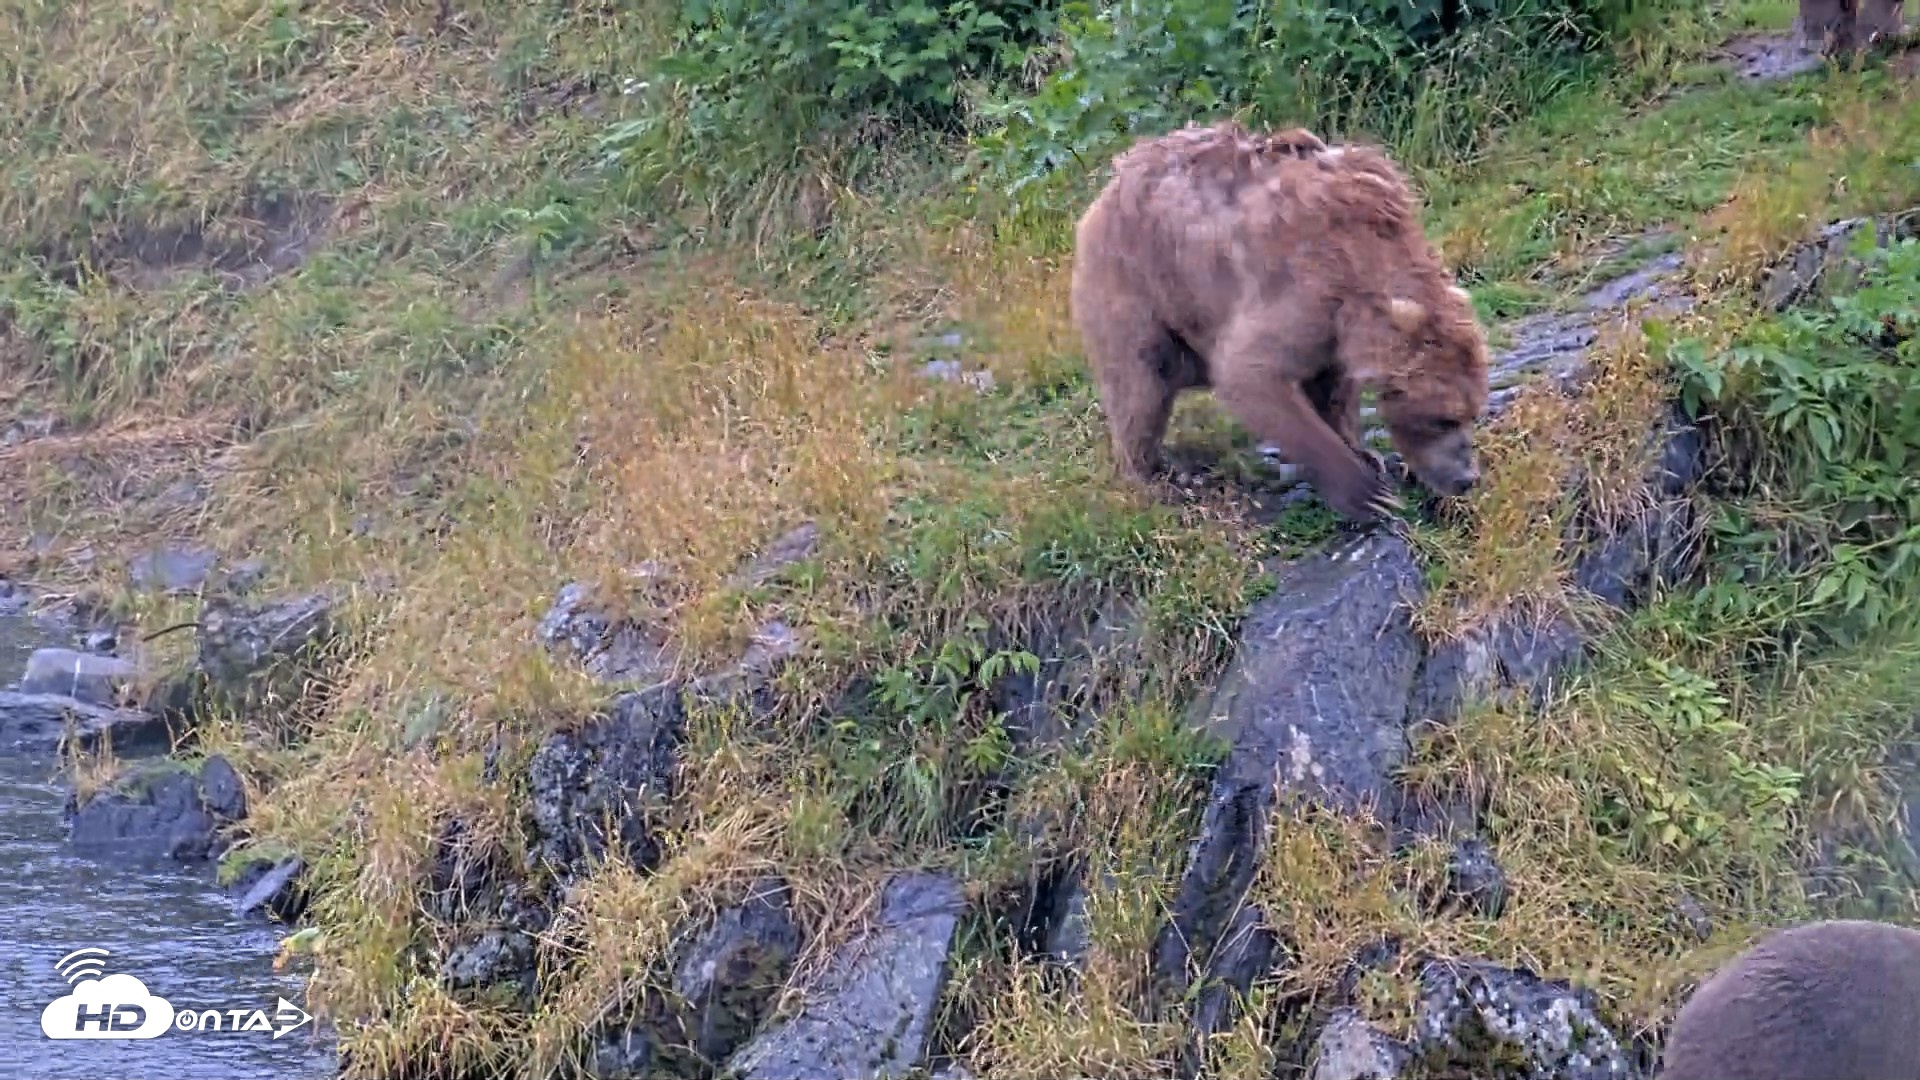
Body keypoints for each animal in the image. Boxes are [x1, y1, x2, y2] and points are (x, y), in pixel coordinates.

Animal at [1068, 118, 1490, 524]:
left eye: (1471, 412)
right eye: (1442, 419)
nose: (1467, 477)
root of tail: (1103, 192)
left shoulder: (1334, 327)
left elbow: (1332, 389)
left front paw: (1365, 453)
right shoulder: (1304, 290)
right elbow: (1250, 374)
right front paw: (1369, 494)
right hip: (1138, 287)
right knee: (1141, 383)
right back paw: (1155, 476)